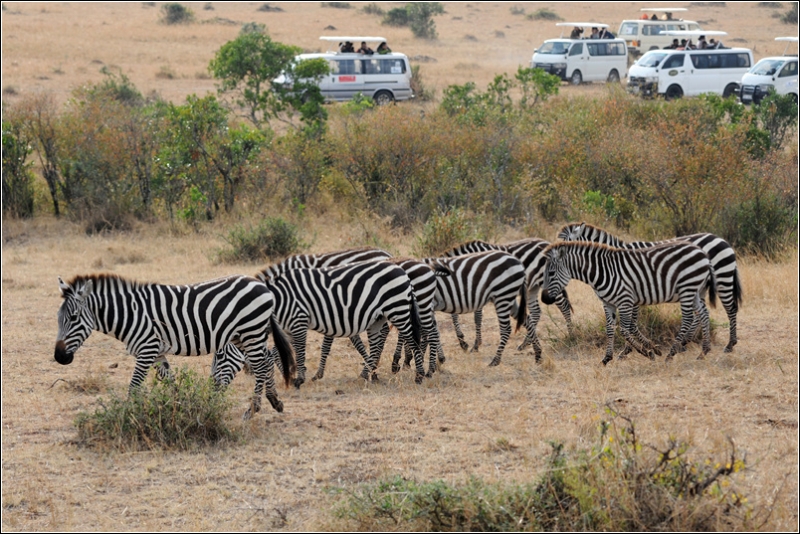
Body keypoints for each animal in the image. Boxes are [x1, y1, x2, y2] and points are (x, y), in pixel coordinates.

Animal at [54, 276, 296, 418]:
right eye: (58, 318)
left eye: (73, 318)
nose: (59, 357)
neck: (131, 315)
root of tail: (261, 284)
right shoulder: (157, 353)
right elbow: (170, 381)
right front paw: (181, 404)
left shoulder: (147, 349)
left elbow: (134, 387)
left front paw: (127, 415)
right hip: (243, 335)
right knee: (265, 360)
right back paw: (275, 401)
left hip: (250, 331)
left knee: (261, 364)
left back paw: (253, 409)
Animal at [222, 260, 428, 390]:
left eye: (222, 355)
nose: (248, 372)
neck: (279, 300)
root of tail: (403, 272)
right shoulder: (288, 328)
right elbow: (281, 351)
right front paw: (292, 373)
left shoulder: (298, 320)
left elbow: (300, 351)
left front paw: (299, 379)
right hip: (379, 318)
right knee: (377, 345)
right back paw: (367, 374)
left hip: (397, 309)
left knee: (411, 339)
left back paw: (419, 375)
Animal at [444, 240, 576, 362]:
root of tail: (547, 243)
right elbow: (456, 314)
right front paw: (464, 342)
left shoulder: (478, 291)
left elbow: (477, 317)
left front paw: (473, 344)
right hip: (532, 287)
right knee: (536, 312)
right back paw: (525, 343)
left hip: (549, 284)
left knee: (564, 306)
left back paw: (570, 335)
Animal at [536, 244, 720, 366]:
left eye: (551, 273)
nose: (544, 299)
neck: (602, 273)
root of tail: (702, 252)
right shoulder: (608, 303)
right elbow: (610, 329)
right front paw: (606, 358)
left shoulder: (625, 300)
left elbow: (624, 330)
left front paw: (648, 353)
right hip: (695, 290)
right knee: (704, 314)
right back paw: (704, 351)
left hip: (687, 288)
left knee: (688, 319)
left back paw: (671, 353)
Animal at [560, 223, 740, 354]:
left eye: (565, 244)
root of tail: (721, 239)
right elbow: (624, 324)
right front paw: (638, 348)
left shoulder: (631, 294)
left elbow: (631, 324)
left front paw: (630, 350)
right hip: (699, 287)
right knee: (700, 314)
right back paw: (685, 343)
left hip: (722, 277)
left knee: (730, 309)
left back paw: (729, 344)